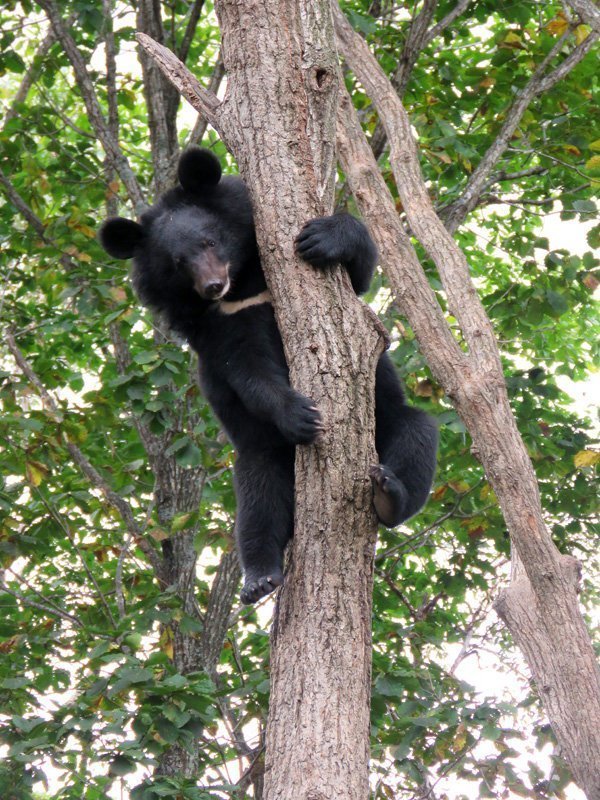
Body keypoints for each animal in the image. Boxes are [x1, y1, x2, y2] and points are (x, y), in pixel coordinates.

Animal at [98, 147, 436, 604]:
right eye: (178, 262)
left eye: (210, 240)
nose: (212, 285)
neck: (244, 282)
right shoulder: (222, 322)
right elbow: (248, 369)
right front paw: (302, 414)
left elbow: (359, 279)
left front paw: (321, 238)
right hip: (262, 451)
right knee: (258, 497)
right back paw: (260, 578)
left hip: (387, 420)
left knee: (417, 434)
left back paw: (389, 495)